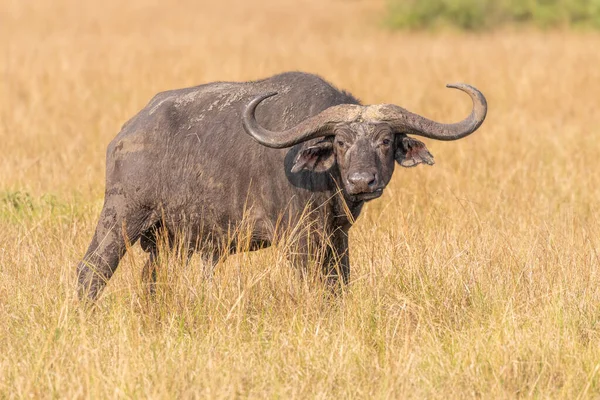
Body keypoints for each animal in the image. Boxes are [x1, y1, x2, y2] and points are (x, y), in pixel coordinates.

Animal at [76, 71, 488, 300]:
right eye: (340, 142)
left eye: (386, 141)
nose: (361, 181)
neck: (327, 183)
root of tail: (125, 134)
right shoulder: (299, 240)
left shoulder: (337, 237)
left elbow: (339, 285)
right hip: (121, 218)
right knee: (90, 271)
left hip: (167, 242)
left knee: (152, 281)